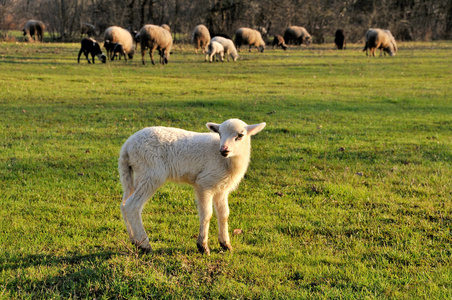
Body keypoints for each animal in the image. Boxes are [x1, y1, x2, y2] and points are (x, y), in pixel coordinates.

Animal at [118, 118, 266, 254]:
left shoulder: (221, 188)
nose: (224, 150)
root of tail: (127, 146)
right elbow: (207, 214)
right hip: (151, 172)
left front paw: (226, 245)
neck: (226, 161)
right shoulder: (204, 183)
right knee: (132, 205)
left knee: (124, 204)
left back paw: (134, 240)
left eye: (240, 135)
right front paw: (203, 247)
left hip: (136, 173)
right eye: (220, 134)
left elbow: (224, 214)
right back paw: (145, 245)